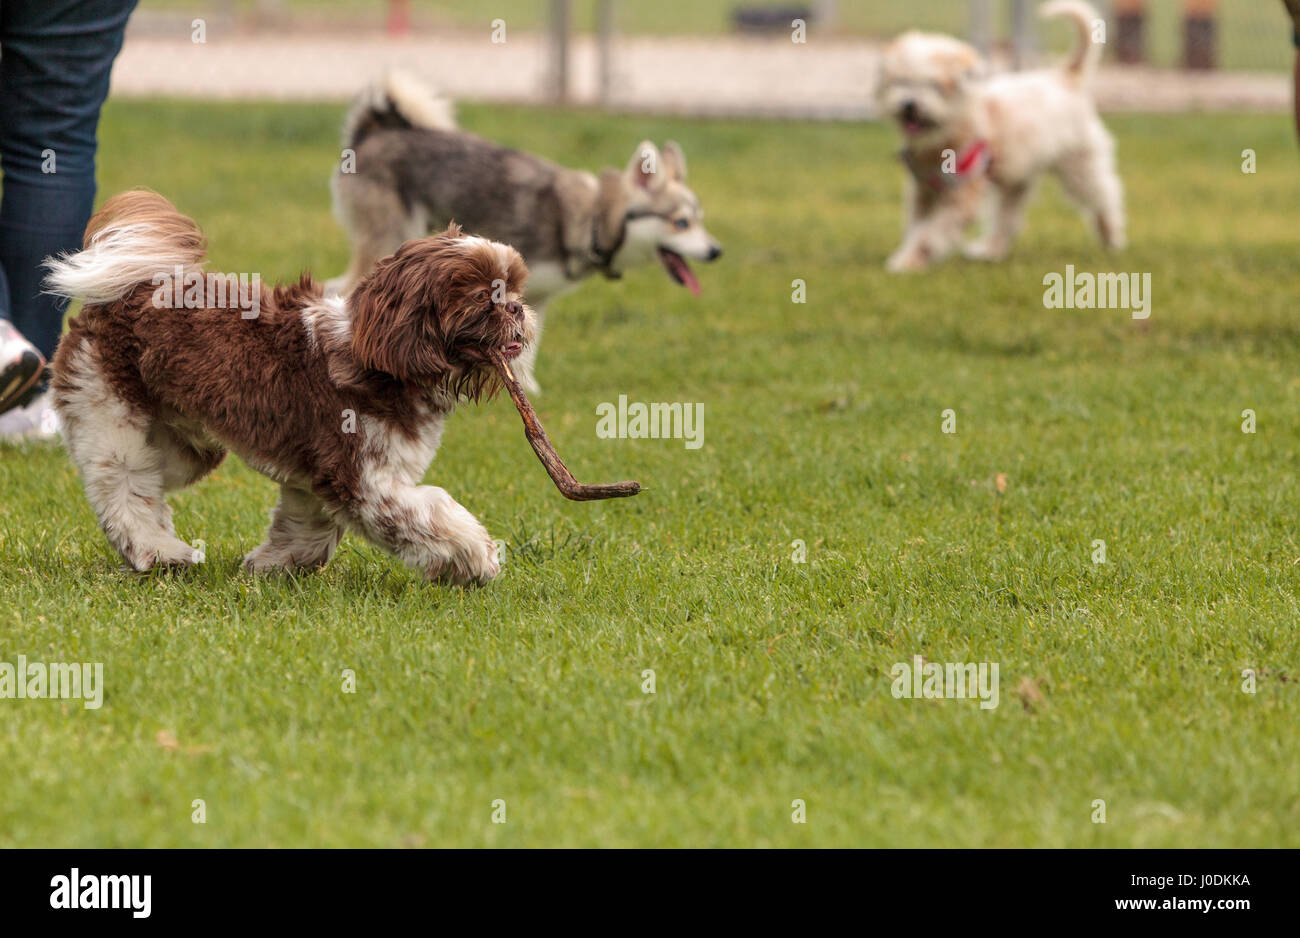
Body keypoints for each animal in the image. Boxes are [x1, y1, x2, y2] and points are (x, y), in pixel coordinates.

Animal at [44, 188, 533, 584]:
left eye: (512, 289)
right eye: (483, 295)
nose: (517, 308)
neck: (378, 359)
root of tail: (120, 294)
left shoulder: (317, 476)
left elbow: (309, 529)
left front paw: (272, 566)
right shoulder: (365, 478)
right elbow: (432, 515)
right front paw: (477, 559)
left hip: (186, 446)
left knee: (151, 480)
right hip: (108, 408)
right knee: (124, 485)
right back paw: (161, 554)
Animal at [327, 71, 722, 389]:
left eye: (700, 219)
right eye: (681, 222)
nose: (716, 251)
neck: (590, 219)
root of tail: (369, 135)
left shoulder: (535, 300)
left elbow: (527, 346)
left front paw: (528, 388)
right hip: (387, 238)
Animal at [878, 0, 1123, 270]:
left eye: (934, 85)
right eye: (901, 81)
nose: (909, 105)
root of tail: (1065, 76)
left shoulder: (962, 195)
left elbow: (929, 235)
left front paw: (908, 262)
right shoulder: (923, 191)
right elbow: (916, 227)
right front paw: (908, 255)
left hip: (1079, 166)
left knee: (1104, 194)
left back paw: (1111, 235)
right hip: (1017, 178)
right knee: (1008, 219)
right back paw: (990, 251)